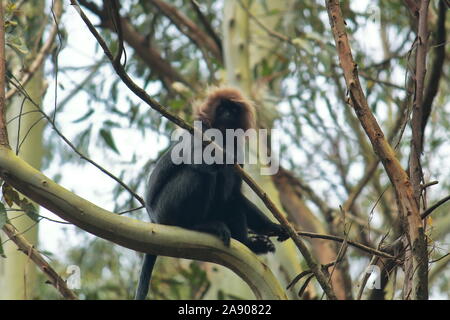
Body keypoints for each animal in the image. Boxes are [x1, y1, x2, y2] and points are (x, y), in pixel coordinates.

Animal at [134, 86, 288, 298]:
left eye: (233, 109)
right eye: (222, 108)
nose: (227, 113)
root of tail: (154, 219)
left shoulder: (238, 150)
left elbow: (234, 193)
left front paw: (273, 227)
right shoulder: (203, 133)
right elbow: (200, 161)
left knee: (229, 198)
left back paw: (247, 244)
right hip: (167, 208)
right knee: (199, 173)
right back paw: (199, 226)